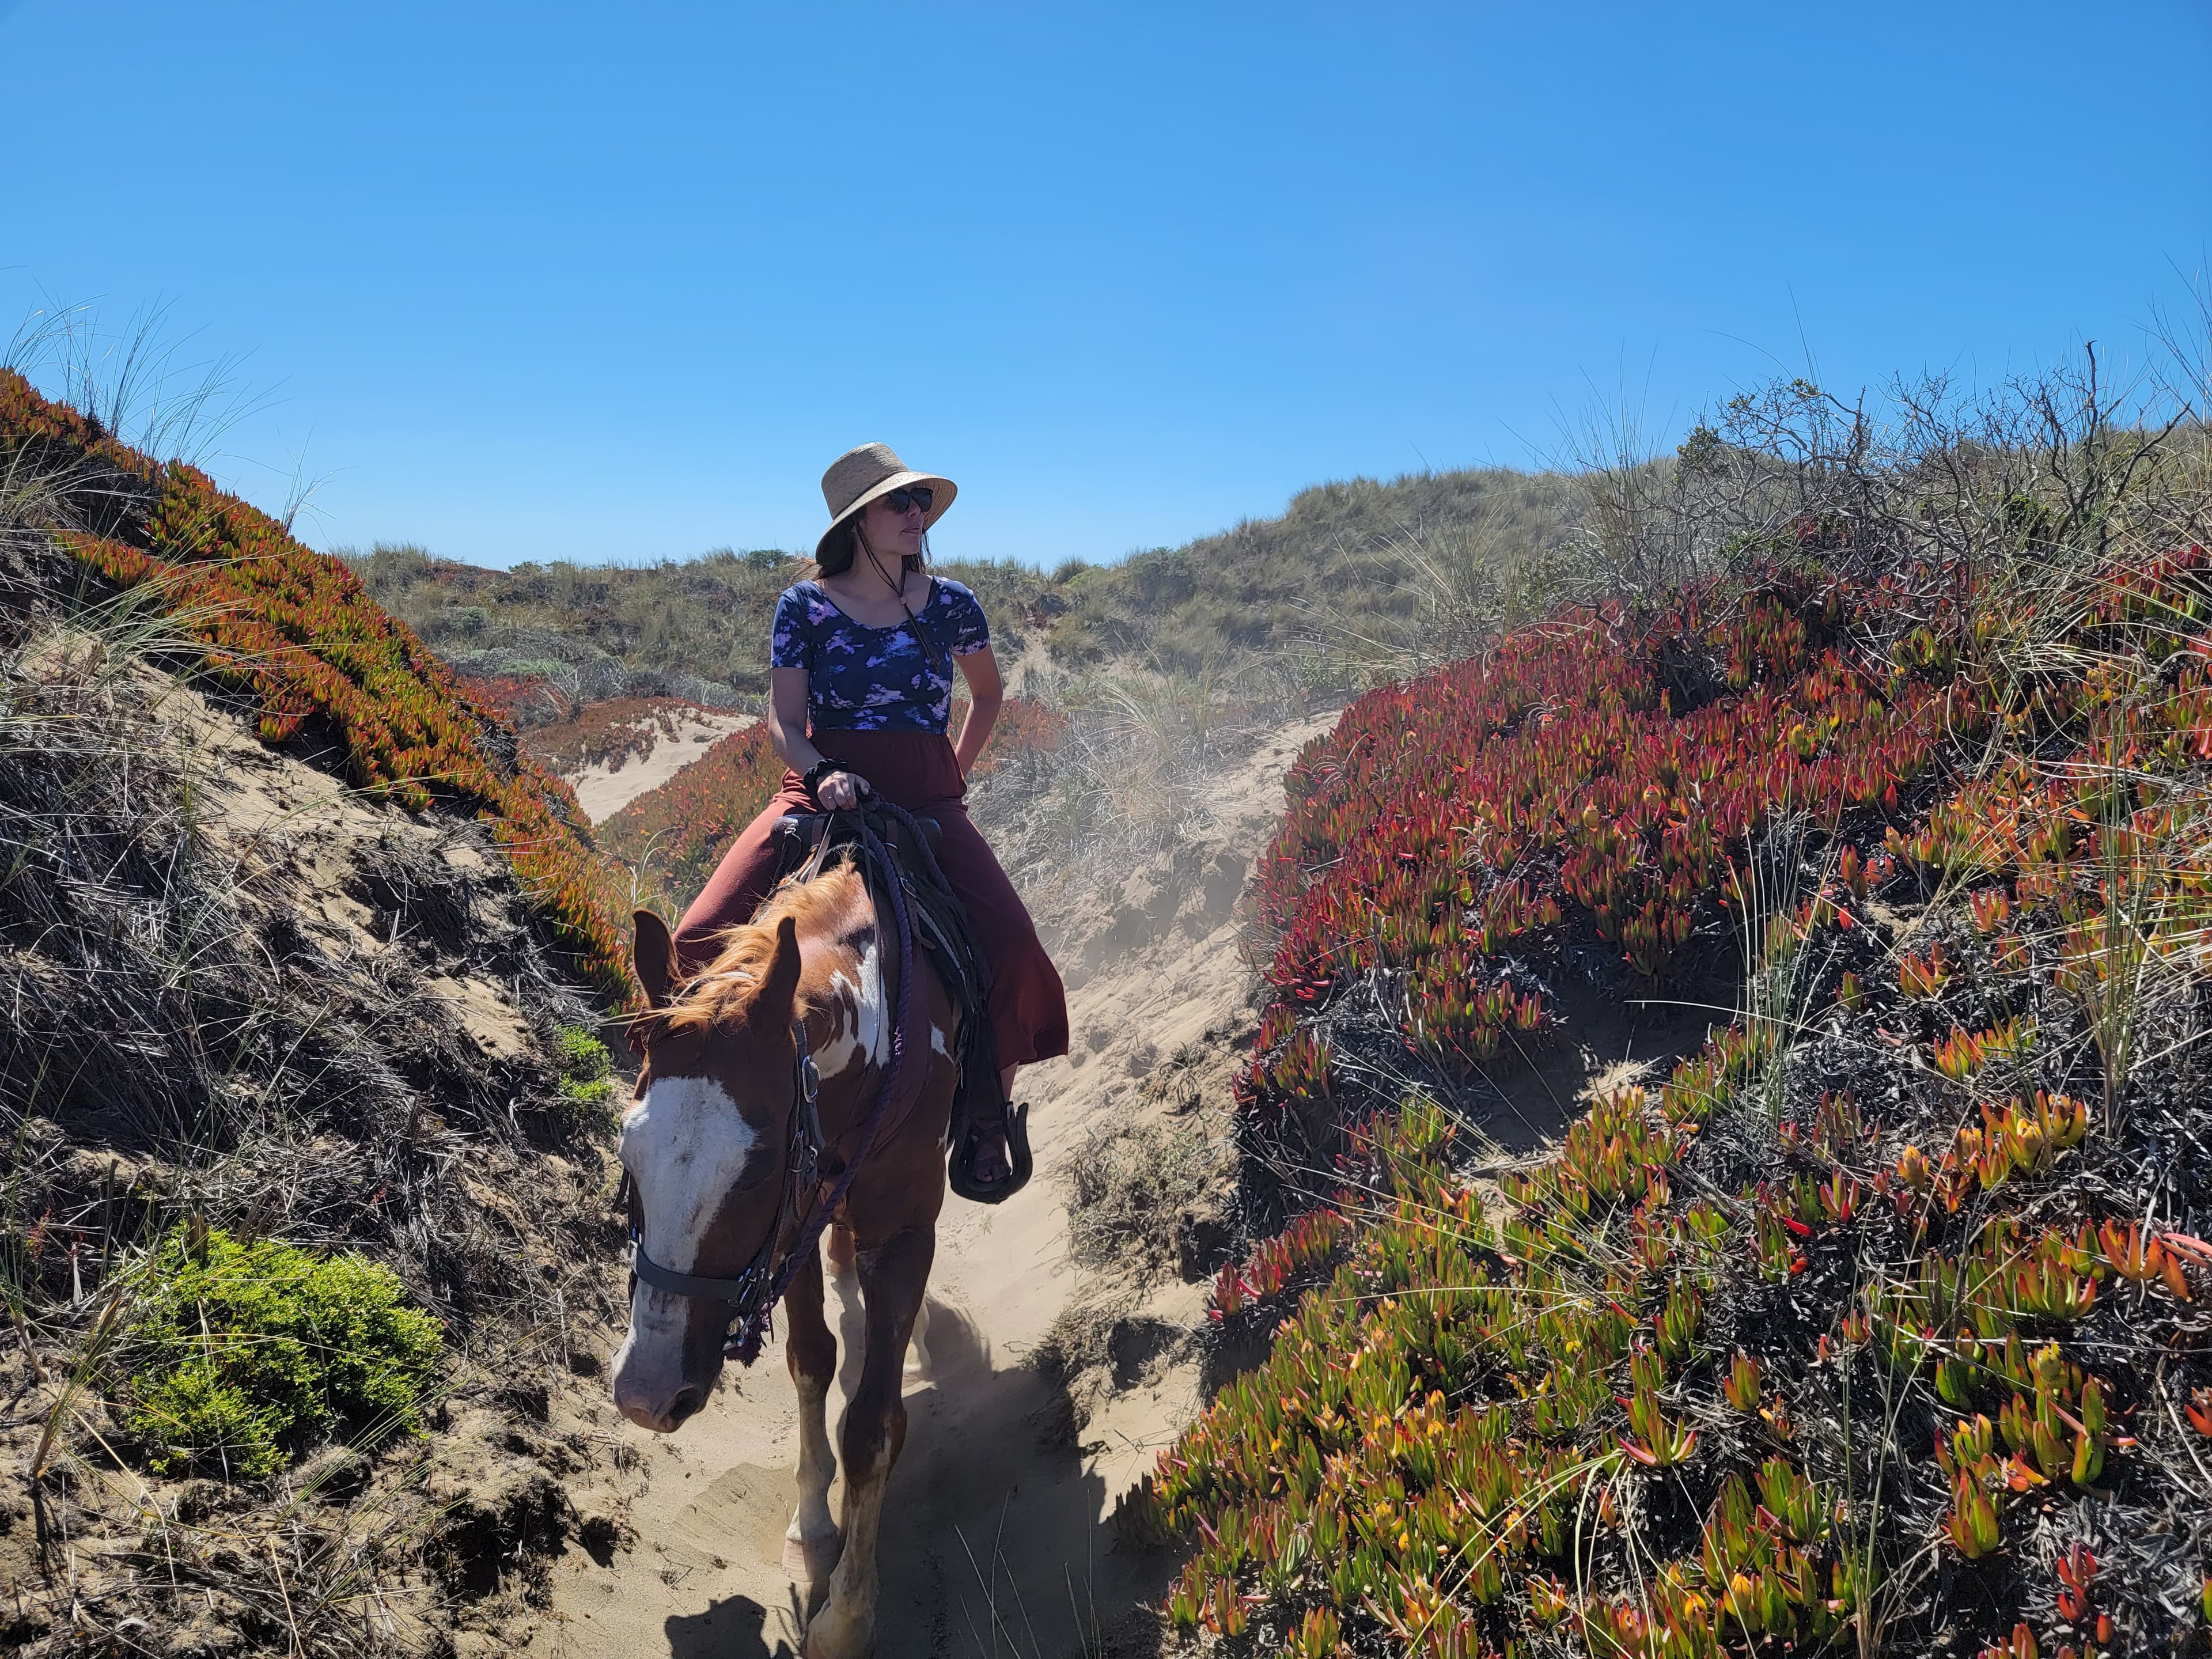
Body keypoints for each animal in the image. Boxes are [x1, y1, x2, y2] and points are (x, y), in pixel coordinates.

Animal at [611, 860, 959, 1659]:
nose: (647, 1395)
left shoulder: (900, 1231)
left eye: (759, 1167)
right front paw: (815, 1527)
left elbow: (871, 1427)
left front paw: (847, 1617)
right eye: (627, 1148)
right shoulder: (798, 1217)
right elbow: (811, 1361)